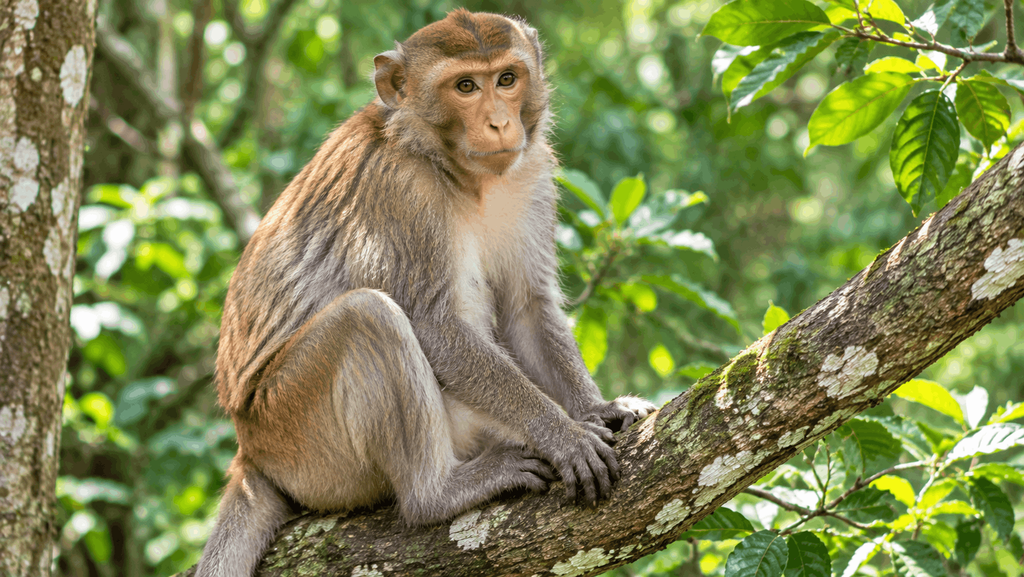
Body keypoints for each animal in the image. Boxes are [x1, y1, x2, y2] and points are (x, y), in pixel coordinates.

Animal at [196, 9, 657, 577]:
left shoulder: (531, 174)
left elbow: (528, 306)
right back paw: (438, 493)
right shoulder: (403, 191)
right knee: (367, 316)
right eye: (465, 87)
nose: (500, 123)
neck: (456, 171)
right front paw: (563, 433)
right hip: (297, 439)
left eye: (507, 79)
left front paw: (595, 409)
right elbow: (434, 324)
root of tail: (249, 453)